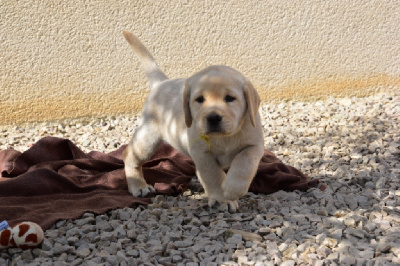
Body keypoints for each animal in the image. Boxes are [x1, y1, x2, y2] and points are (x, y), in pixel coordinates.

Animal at [123, 30, 264, 211]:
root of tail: (161, 83)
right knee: (129, 154)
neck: (223, 138)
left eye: (230, 98)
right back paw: (138, 185)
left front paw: (232, 189)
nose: (213, 118)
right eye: (199, 99)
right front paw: (223, 198)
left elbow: (244, 164)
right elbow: (214, 176)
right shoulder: (202, 154)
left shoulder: (254, 145)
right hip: (148, 139)